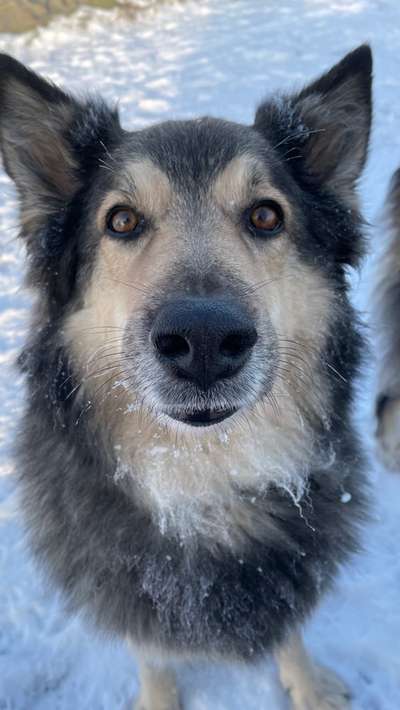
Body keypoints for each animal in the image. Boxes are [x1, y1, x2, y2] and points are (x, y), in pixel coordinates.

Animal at [0, 46, 372, 710]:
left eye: (265, 215)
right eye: (122, 220)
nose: (203, 341)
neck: (200, 475)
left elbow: (290, 630)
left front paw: (307, 687)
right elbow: (151, 650)